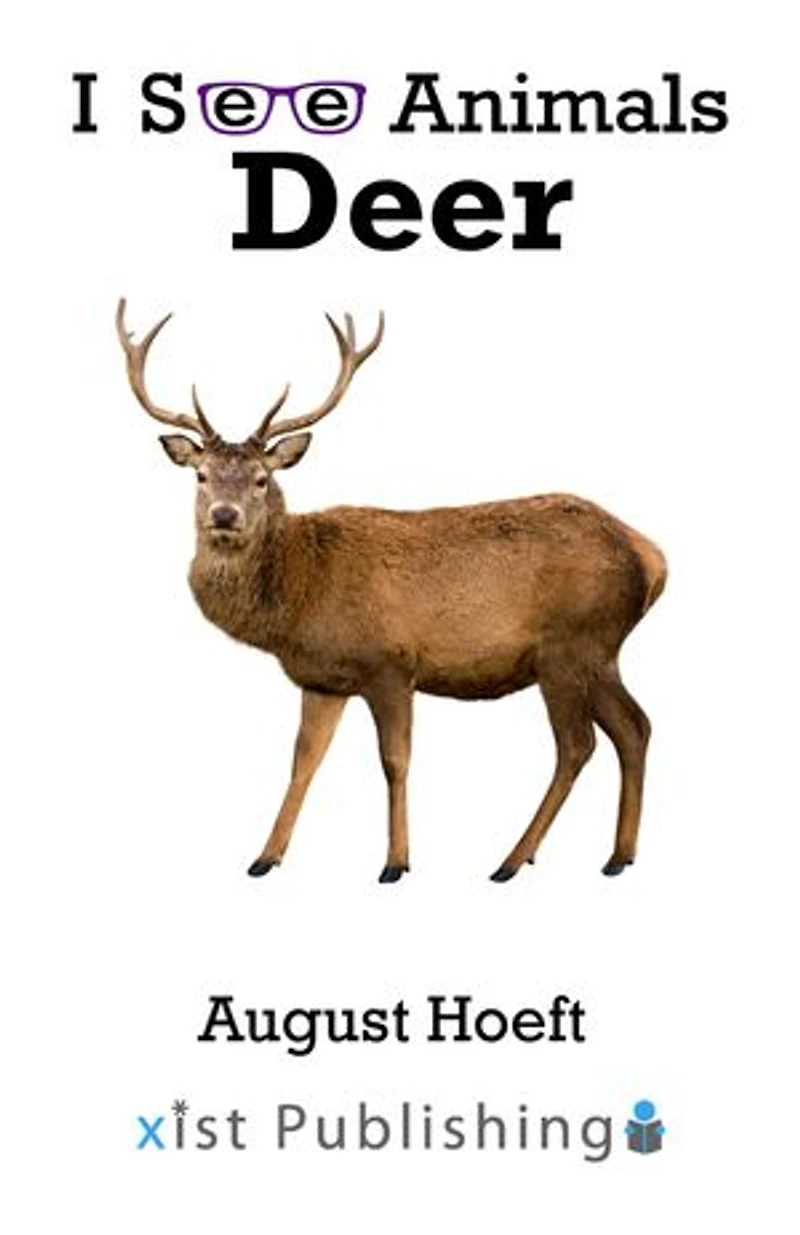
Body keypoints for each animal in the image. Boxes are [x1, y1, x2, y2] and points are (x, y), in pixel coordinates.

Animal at [116, 299, 667, 884]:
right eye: (200, 475)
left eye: (262, 479)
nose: (225, 515)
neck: (300, 593)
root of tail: (652, 556)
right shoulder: (322, 679)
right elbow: (303, 762)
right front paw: (265, 856)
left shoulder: (391, 663)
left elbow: (394, 761)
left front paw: (396, 861)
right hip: (599, 652)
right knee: (634, 727)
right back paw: (618, 854)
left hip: (568, 645)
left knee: (578, 745)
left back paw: (513, 859)